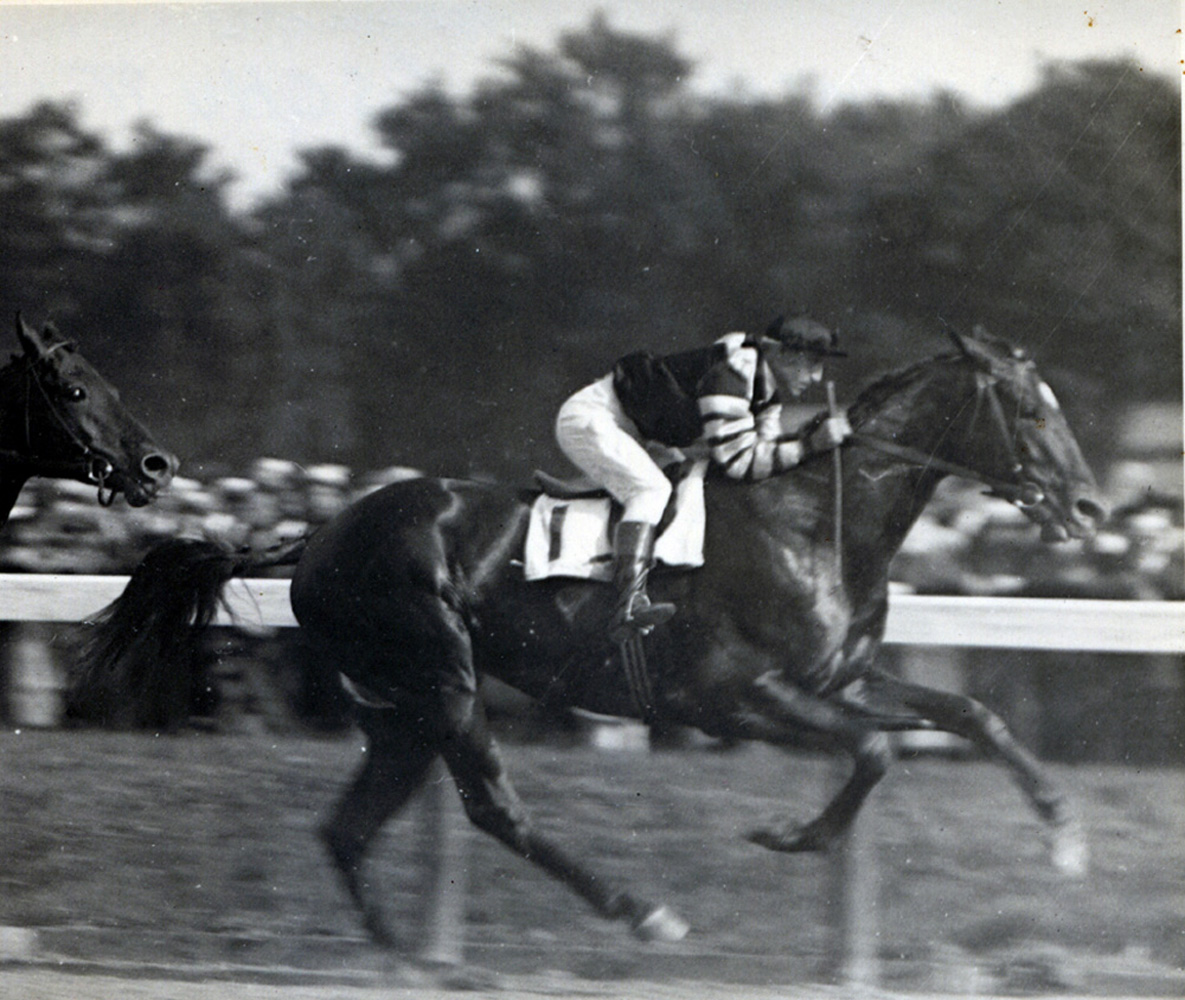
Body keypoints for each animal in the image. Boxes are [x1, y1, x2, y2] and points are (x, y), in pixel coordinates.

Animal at [78, 327, 1104, 943]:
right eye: (1029, 409)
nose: (1089, 506)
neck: (812, 518)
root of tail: (319, 534)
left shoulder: (839, 680)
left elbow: (972, 714)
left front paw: (1062, 839)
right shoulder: (734, 696)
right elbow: (873, 755)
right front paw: (789, 834)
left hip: (401, 708)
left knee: (349, 828)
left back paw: (402, 950)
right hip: (443, 677)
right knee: (493, 808)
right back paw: (639, 911)